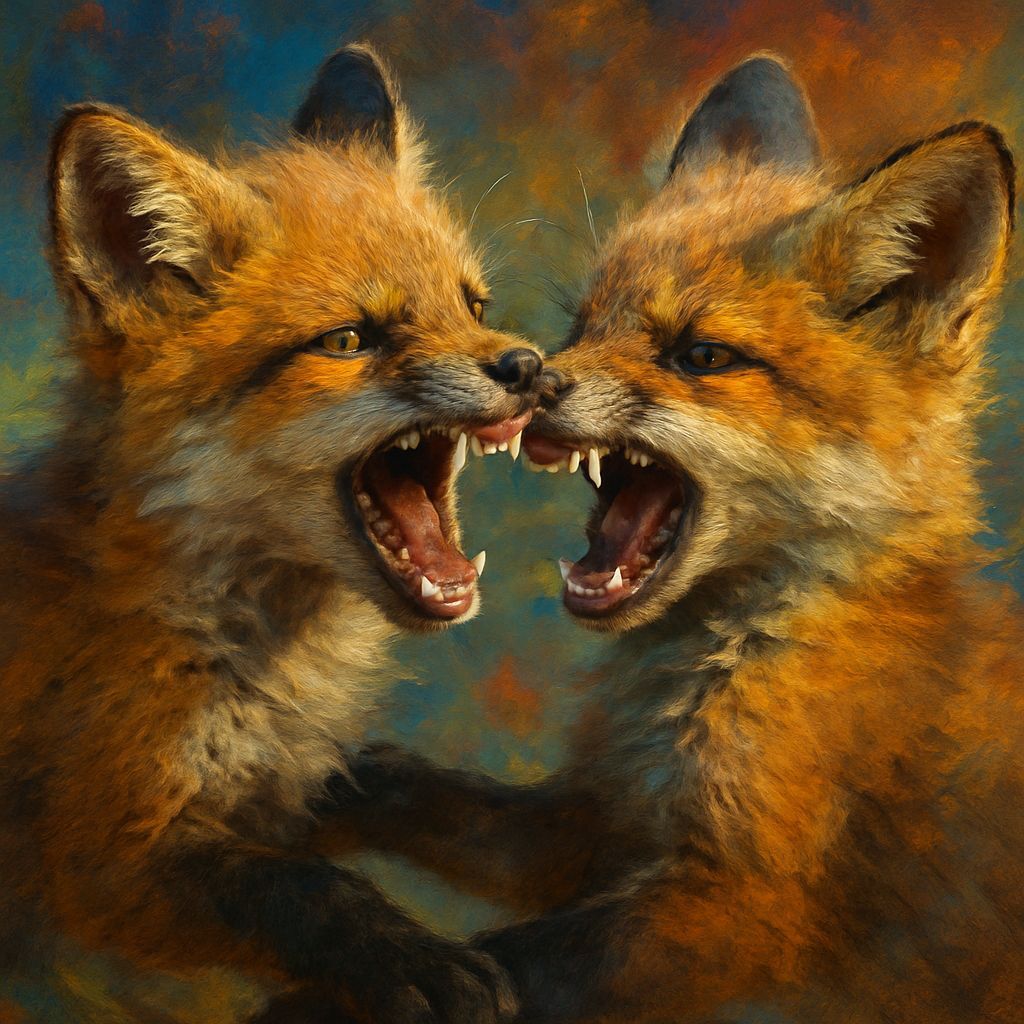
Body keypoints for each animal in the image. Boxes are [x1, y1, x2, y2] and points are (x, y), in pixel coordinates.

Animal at [0, 43, 546, 1024]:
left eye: (474, 307)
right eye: (349, 340)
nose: (530, 368)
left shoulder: (292, 775)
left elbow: (402, 780)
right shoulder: (96, 854)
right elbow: (300, 886)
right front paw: (415, 960)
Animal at [340, 55, 1024, 1023]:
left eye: (702, 357)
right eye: (581, 325)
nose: (532, 376)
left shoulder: (747, 902)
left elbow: (522, 959)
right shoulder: (593, 825)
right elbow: (424, 794)